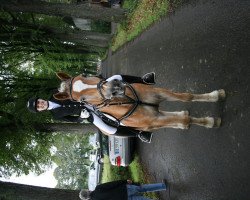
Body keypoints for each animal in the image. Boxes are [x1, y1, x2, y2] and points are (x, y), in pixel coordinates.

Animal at [53, 72, 226, 133]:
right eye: (82, 101)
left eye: (84, 75)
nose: (114, 87)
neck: (127, 101)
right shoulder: (154, 119)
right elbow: (185, 120)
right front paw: (211, 122)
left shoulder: (158, 93)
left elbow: (187, 97)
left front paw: (216, 95)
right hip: (151, 123)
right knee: (178, 120)